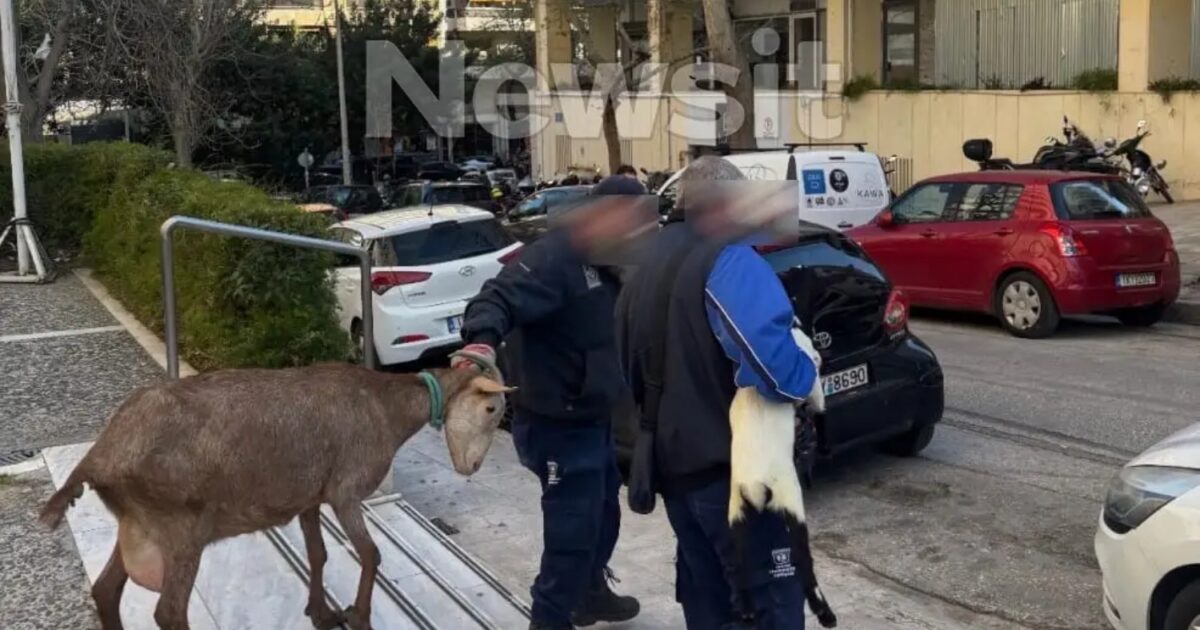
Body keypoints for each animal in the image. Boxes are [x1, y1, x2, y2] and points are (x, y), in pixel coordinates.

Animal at [39, 352, 512, 630]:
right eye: (492, 408)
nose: (471, 467)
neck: (386, 407)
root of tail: (99, 456)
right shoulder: (345, 490)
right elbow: (371, 554)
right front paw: (359, 617)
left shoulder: (309, 497)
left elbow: (318, 554)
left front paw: (321, 613)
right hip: (180, 528)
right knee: (168, 611)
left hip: (138, 525)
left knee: (106, 590)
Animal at [728, 328, 837, 628]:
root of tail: (754, 484)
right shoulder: (813, 386)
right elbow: (821, 412)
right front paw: (825, 446)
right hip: (790, 501)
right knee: (803, 560)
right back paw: (825, 613)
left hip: (736, 513)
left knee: (740, 563)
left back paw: (747, 610)